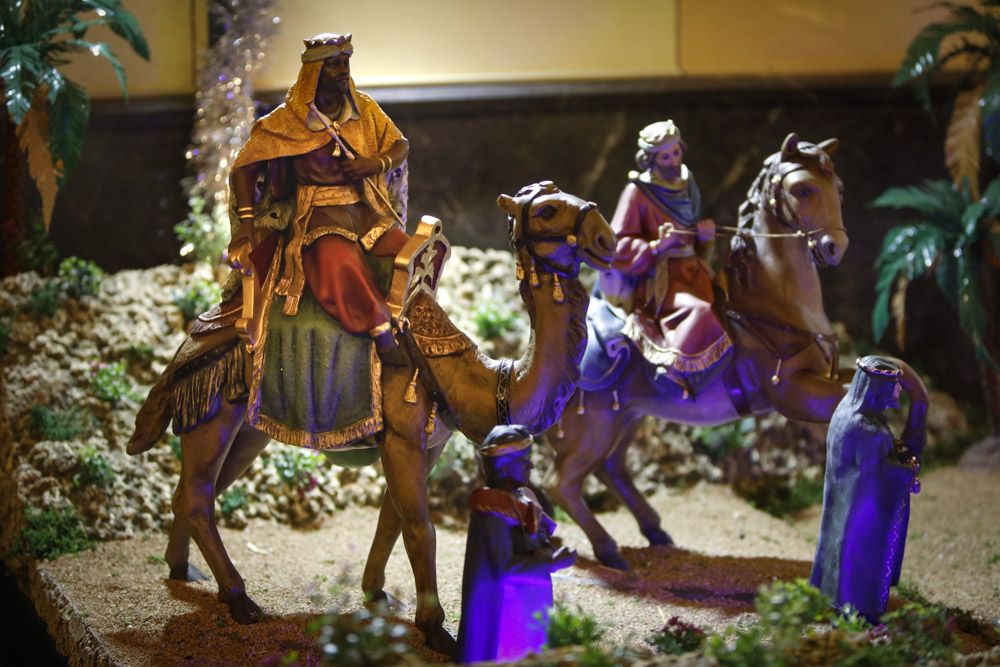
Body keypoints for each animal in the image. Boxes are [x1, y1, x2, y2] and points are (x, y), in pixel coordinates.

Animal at [126, 181, 616, 652]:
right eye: (548, 210)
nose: (605, 237)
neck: (481, 376)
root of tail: (192, 337)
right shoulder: (402, 437)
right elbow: (420, 528)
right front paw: (435, 630)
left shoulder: (430, 443)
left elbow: (392, 518)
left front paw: (377, 593)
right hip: (213, 412)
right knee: (198, 496)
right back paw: (240, 599)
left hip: (248, 427)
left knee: (194, 490)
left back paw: (182, 570)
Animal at [548, 134, 928, 568]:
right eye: (803, 189)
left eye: (840, 189)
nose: (835, 247)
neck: (770, 302)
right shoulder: (793, 393)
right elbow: (848, 401)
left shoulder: (827, 372)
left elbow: (903, 370)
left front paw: (915, 432)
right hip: (594, 428)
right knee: (562, 484)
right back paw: (609, 549)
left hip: (627, 416)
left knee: (611, 469)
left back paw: (655, 530)